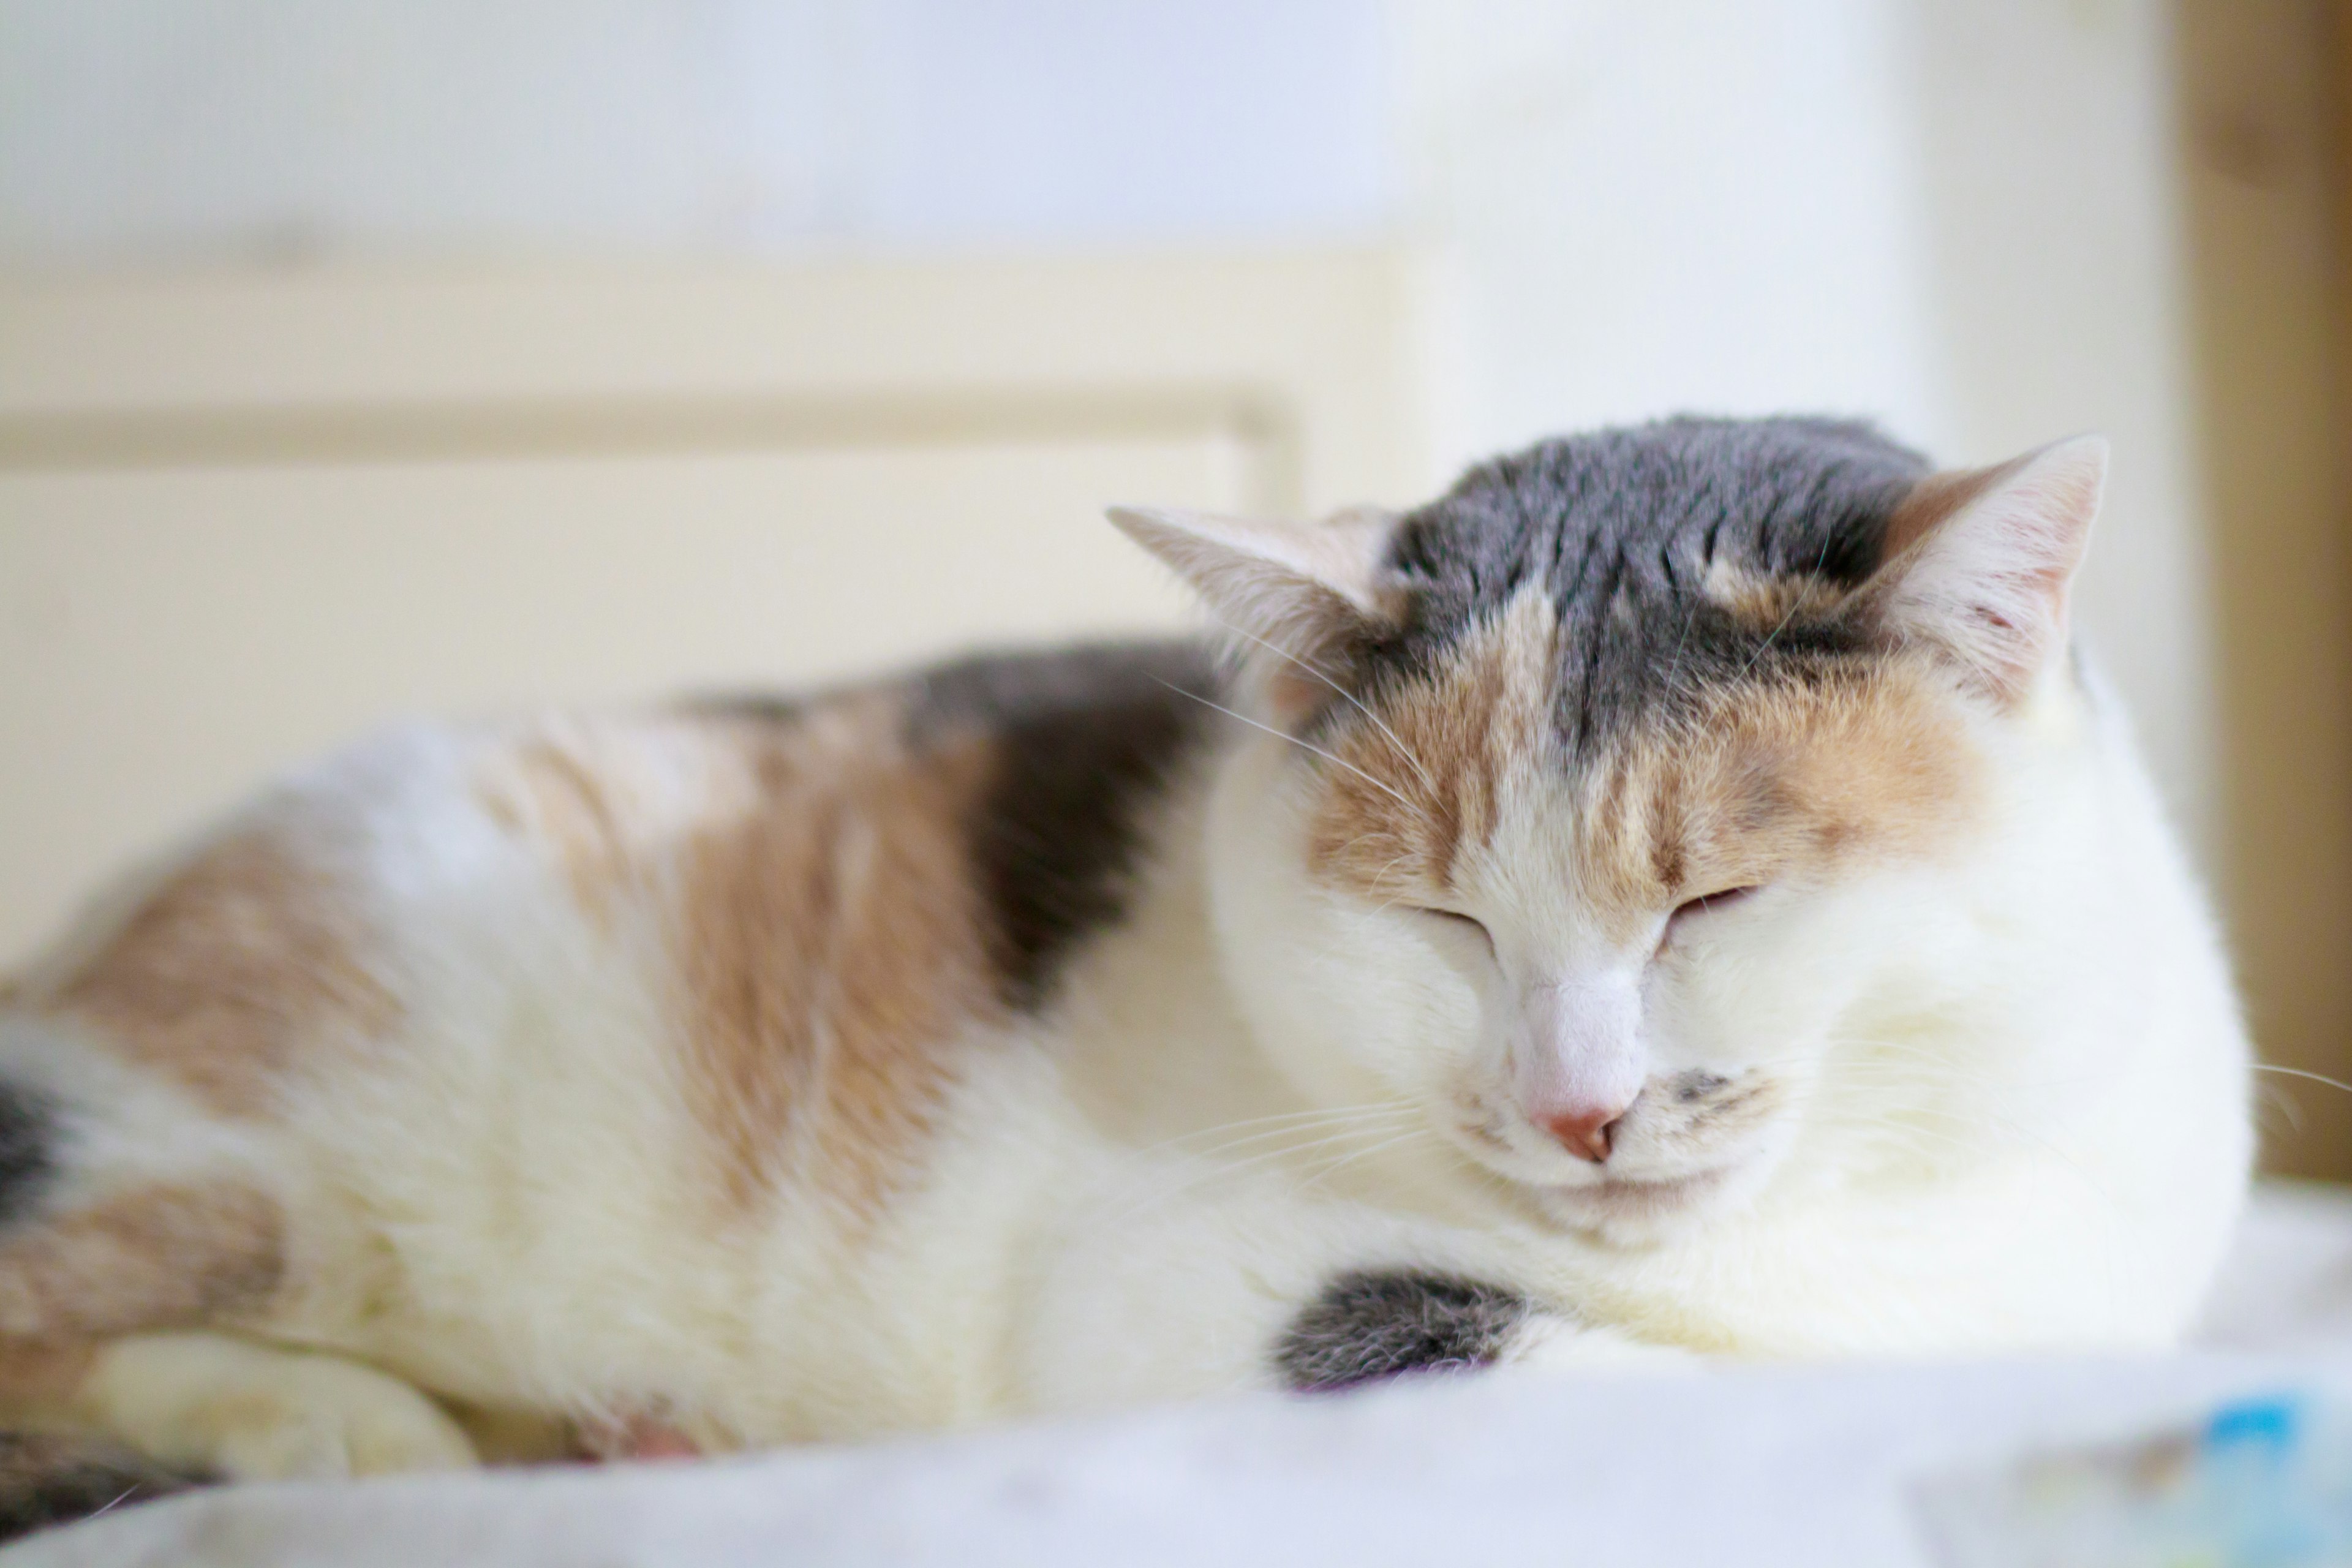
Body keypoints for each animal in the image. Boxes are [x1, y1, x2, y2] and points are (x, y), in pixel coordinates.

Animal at [0, 413, 2248, 1532]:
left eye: (1715, 903)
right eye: (1442, 923)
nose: (1580, 1108)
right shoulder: (1181, 1293)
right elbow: (1652, 1383)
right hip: (294, 1130)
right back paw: (352, 1434)